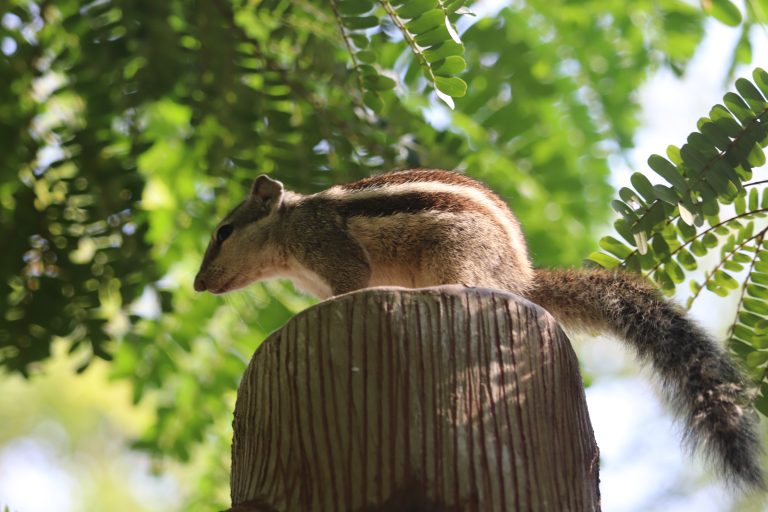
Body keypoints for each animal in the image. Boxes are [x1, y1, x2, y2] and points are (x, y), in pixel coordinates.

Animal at [194, 168, 760, 488]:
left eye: (224, 231)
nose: (198, 284)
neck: (289, 232)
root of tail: (521, 278)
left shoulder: (335, 253)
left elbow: (349, 283)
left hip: (456, 252)